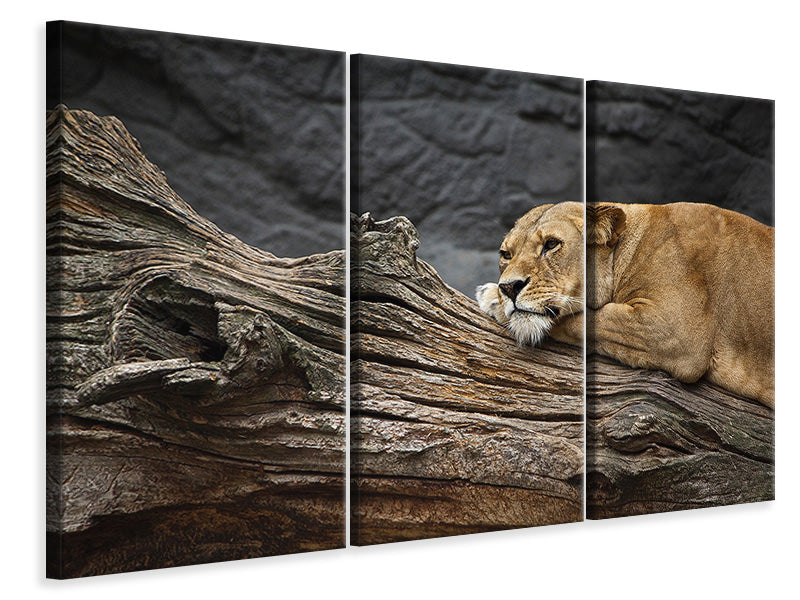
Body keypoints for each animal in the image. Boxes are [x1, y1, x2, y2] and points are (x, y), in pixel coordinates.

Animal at [476, 201, 775, 408]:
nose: (508, 287)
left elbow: (584, 319)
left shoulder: (676, 330)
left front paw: (493, 300)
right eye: (506, 254)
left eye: (551, 244)